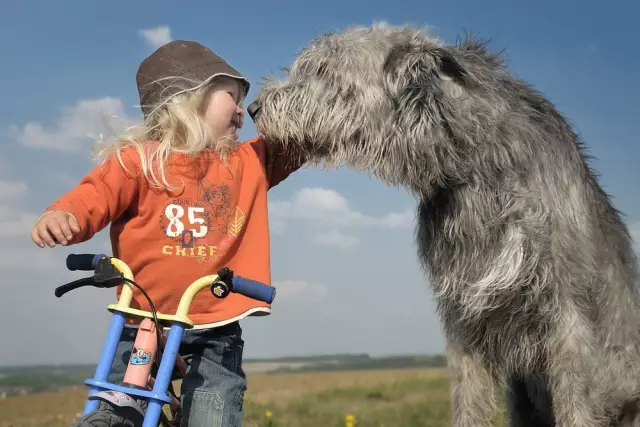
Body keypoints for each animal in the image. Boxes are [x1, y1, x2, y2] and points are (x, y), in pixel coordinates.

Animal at [248, 24, 640, 427]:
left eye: (322, 69)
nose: (253, 108)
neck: (475, 167)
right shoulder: (463, 312)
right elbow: (469, 398)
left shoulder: (567, 314)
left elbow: (576, 400)